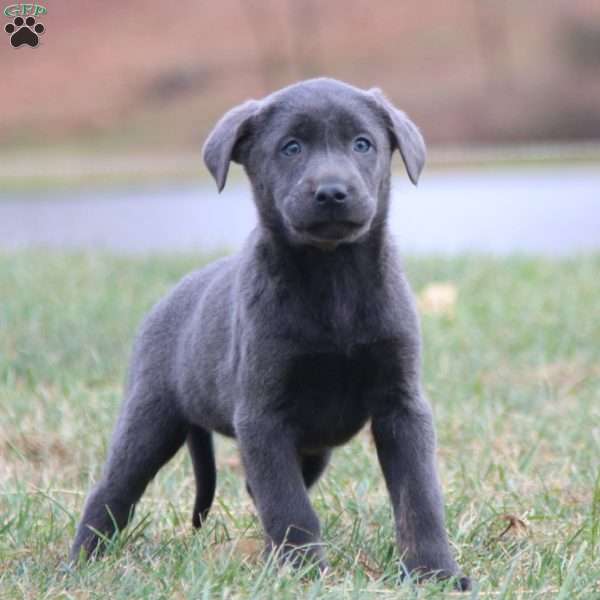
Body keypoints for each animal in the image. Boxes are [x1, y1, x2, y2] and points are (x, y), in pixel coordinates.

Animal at [71, 77, 468, 588]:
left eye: (363, 144)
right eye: (290, 147)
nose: (332, 192)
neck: (333, 281)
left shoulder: (401, 405)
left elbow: (418, 497)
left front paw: (435, 573)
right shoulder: (263, 416)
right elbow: (290, 505)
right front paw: (303, 573)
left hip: (312, 448)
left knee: (253, 485)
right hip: (149, 417)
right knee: (112, 490)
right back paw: (78, 563)